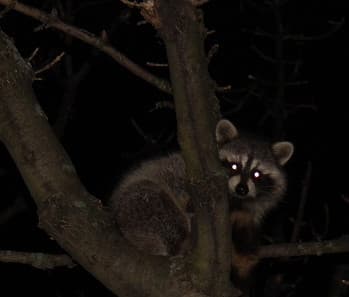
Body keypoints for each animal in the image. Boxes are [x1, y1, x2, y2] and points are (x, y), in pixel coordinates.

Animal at [108, 119, 290, 262]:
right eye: (234, 166)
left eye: (256, 174)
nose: (242, 189)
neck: (235, 198)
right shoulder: (189, 167)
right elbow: (175, 179)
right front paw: (192, 201)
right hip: (134, 209)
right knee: (156, 201)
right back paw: (180, 241)